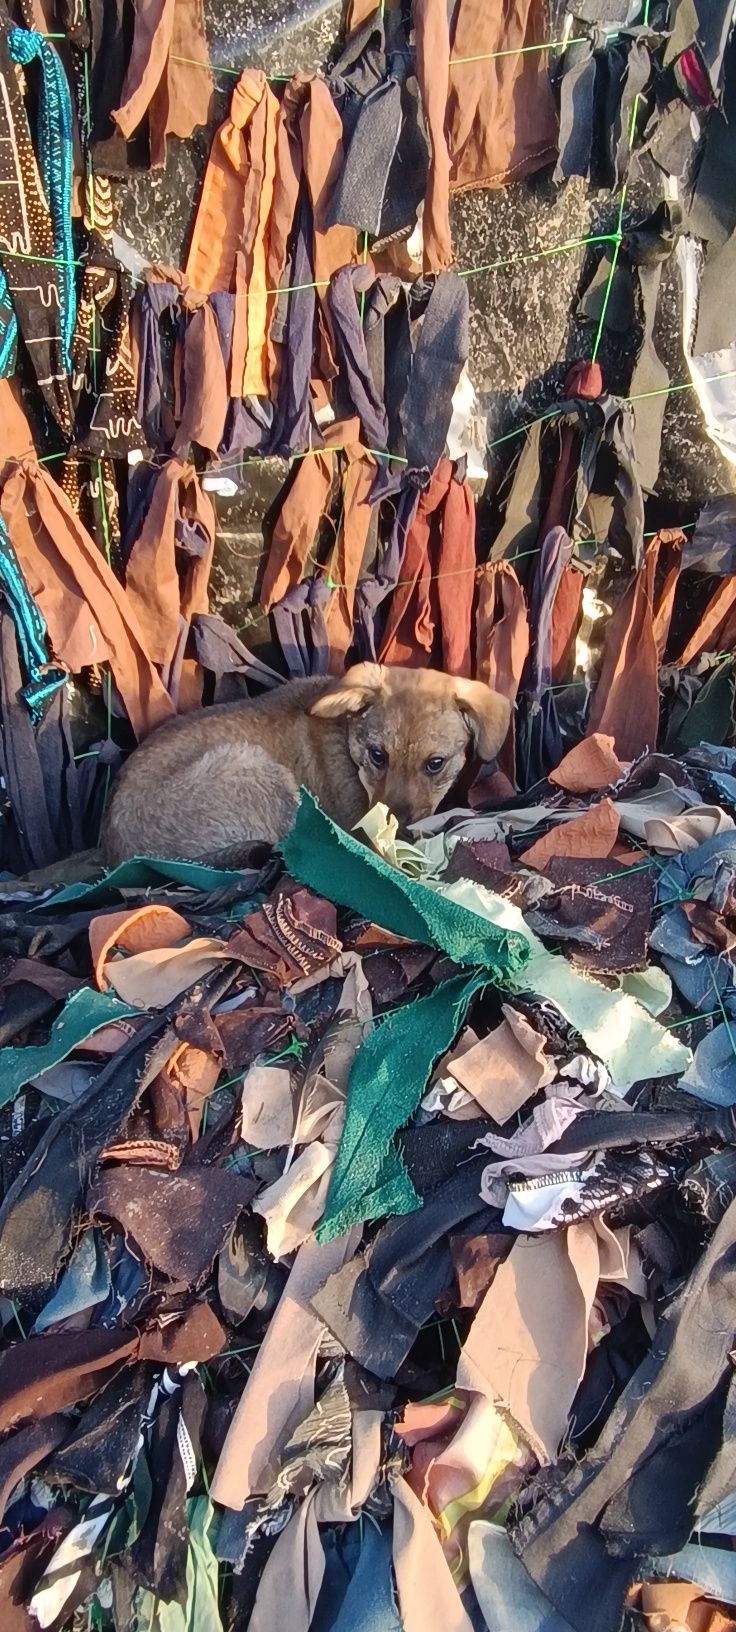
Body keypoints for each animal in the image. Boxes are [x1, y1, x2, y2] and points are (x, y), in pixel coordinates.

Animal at [100, 659, 509, 868]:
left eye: (435, 763)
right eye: (378, 755)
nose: (394, 828)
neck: (346, 738)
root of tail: (124, 856)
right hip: (260, 771)